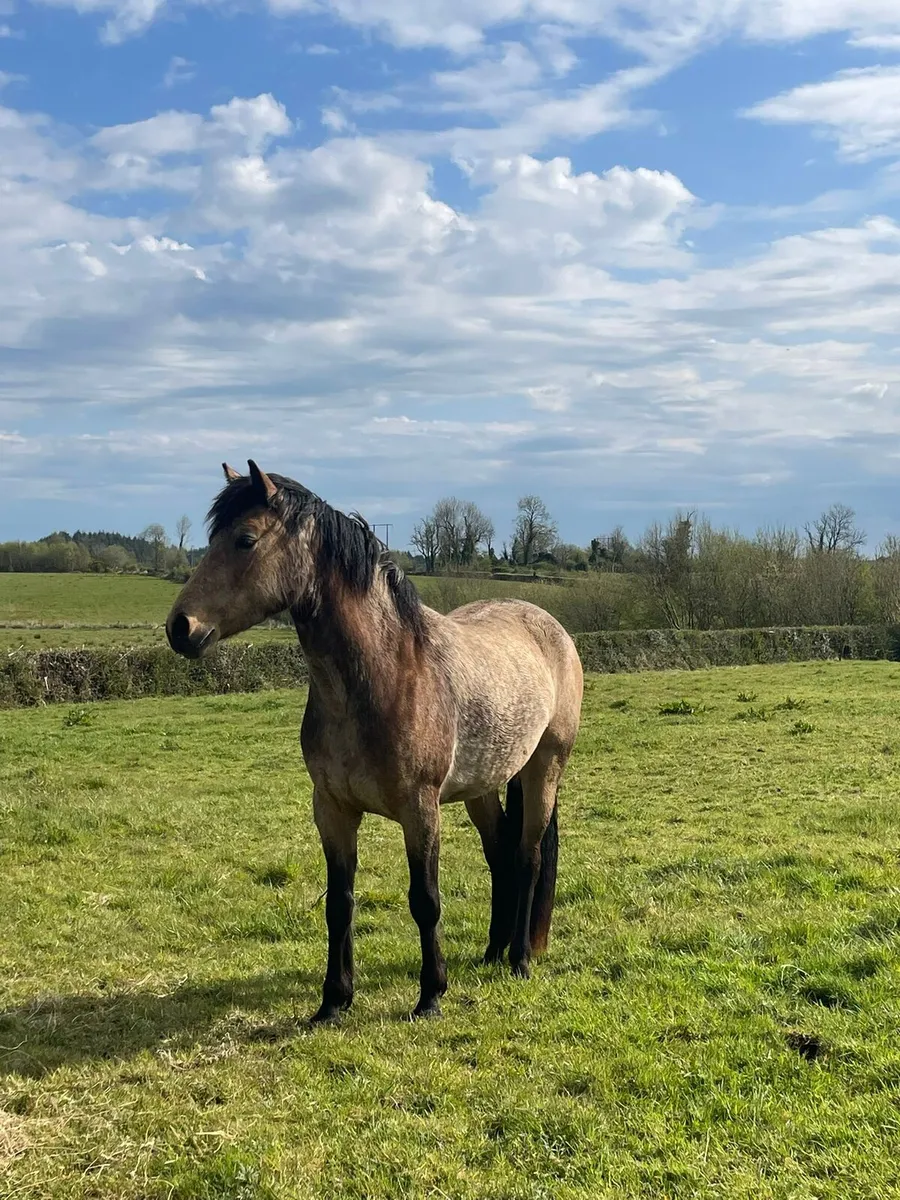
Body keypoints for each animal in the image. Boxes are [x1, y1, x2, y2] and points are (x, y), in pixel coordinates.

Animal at [166, 461, 584, 1023]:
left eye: (245, 539)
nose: (180, 627)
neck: (383, 674)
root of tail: (549, 625)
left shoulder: (419, 809)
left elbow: (425, 900)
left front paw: (431, 996)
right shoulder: (332, 808)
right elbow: (338, 902)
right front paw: (333, 1001)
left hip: (544, 766)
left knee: (527, 856)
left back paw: (518, 959)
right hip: (483, 785)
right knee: (499, 855)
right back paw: (492, 952)